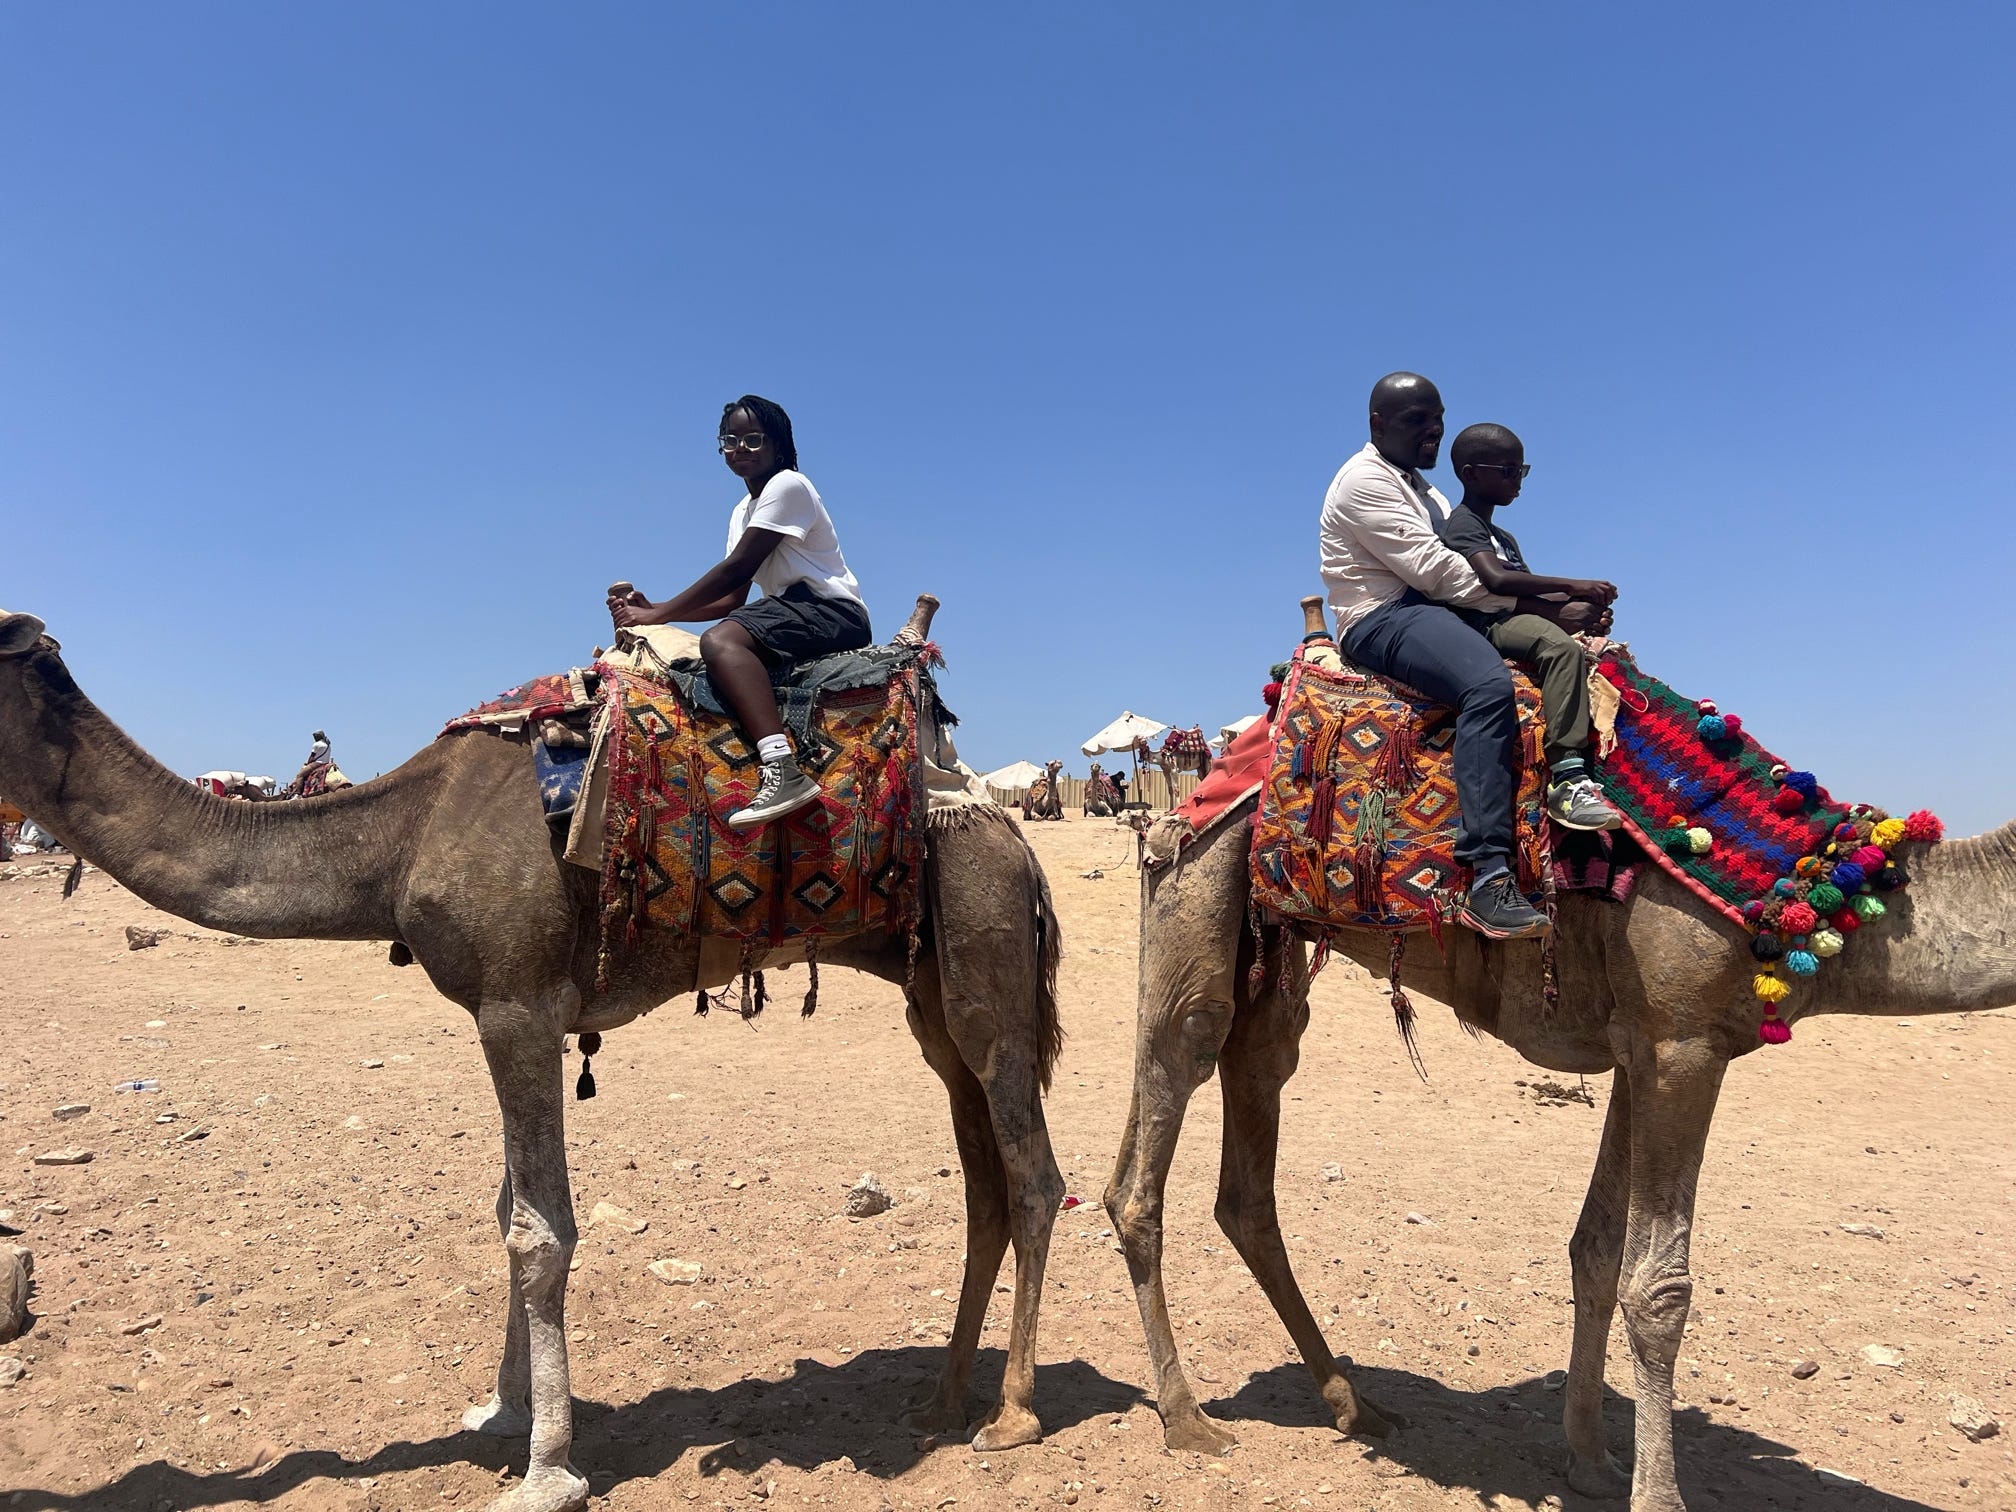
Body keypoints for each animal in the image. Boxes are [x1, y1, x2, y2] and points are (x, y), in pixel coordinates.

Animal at [0, 598, 1066, 1512]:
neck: (400, 838)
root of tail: (1007, 829)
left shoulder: (515, 1006)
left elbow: (539, 1231)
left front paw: (548, 1466)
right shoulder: (514, 1015)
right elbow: (507, 1208)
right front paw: (503, 1411)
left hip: (984, 957)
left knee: (1033, 1175)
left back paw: (1012, 1414)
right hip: (933, 999)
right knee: (982, 1176)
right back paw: (942, 1400)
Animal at [1104, 611, 2015, 1512]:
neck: (1812, 891)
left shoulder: (1642, 1049)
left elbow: (1599, 1252)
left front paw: (1589, 1459)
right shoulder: (1684, 1045)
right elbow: (1661, 1288)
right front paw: (1657, 1496)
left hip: (1270, 951)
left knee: (1250, 1149)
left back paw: (1352, 1403)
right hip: (1195, 878)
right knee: (1156, 1127)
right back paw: (1187, 1417)